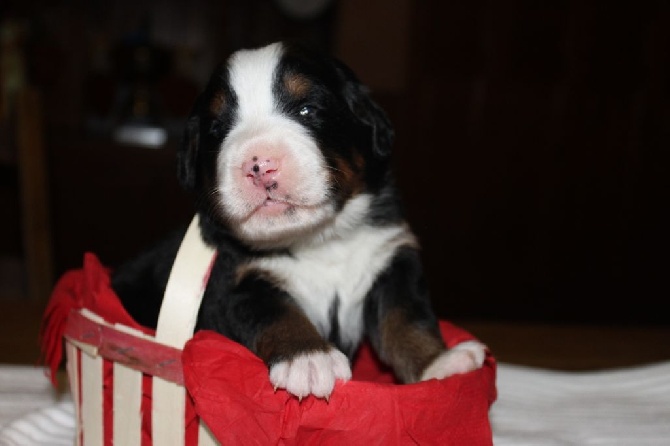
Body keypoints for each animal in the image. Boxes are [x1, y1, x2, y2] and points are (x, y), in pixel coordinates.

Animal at [111, 40, 488, 398]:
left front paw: (440, 363)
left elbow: (406, 318)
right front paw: (308, 359)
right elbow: (278, 313)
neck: (318, 240)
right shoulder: (234, 280)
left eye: (307, 109)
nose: (260, 165)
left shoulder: (390, 258)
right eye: (217, 128)